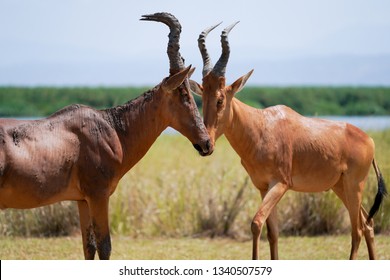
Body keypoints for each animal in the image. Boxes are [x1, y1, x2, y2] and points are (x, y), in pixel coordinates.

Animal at [0, 12, 212, 258]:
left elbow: (89, 246)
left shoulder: (82, 200)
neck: (111, 128)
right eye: (184, 94)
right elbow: (105, 246)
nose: (206, 144)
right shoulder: (99, 196)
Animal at [190, 21, 386, 260]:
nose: (205, 145)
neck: (262, 126)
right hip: (340, 186)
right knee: (368, 224)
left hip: (354, 185)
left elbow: (256, 223)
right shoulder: (263, 187)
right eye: (202, 97)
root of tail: (368, 139)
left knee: (356, 229)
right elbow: (272, 233)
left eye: (220, 99)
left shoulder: (281, 184)